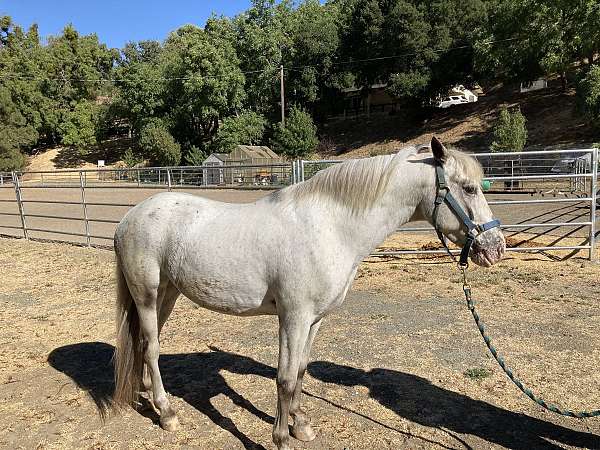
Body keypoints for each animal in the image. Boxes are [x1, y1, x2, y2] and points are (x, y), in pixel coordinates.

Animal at [113, 138, 506, 450]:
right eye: (469, 188)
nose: (496, 247)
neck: (330, 226)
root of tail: (129, 218)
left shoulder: (314, 321)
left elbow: (301, 370)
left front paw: (300, 425)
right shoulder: (294, 318)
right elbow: (285, 379)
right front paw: (281, 439)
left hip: (168, 294)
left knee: (148, 346)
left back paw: (150, 397)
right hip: (146, 295)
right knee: (151, 347)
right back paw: (167, 413)